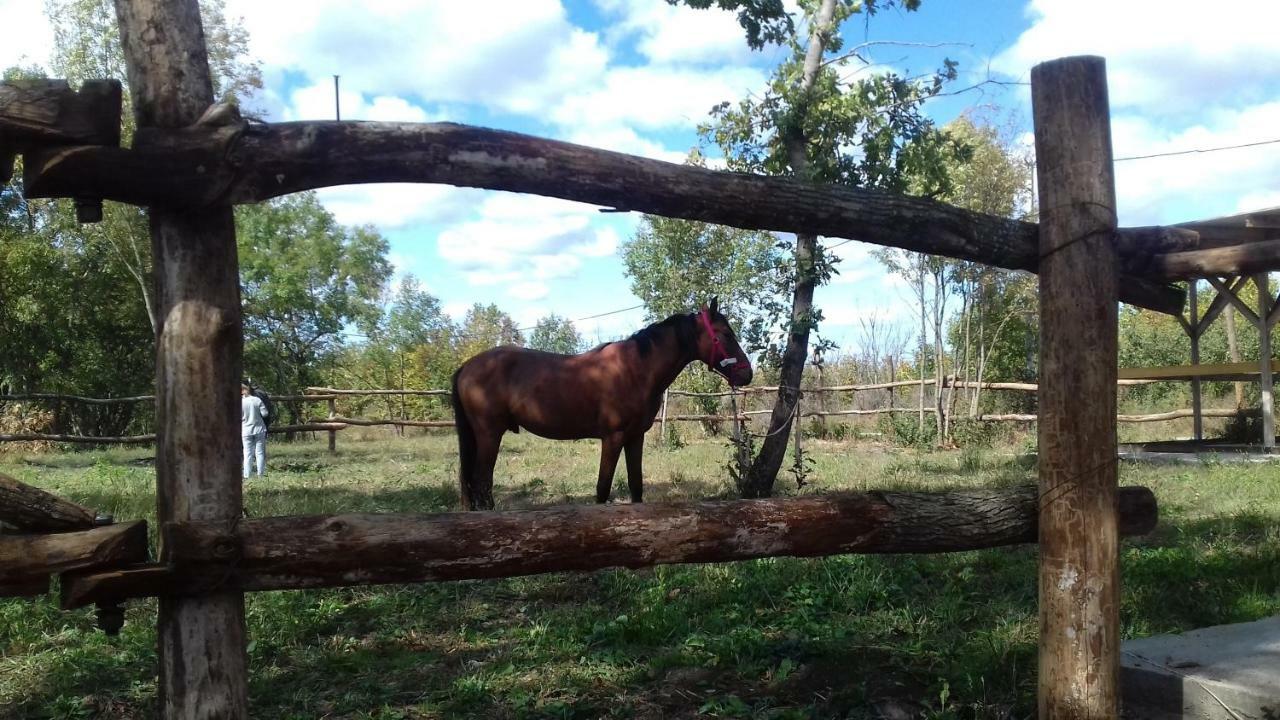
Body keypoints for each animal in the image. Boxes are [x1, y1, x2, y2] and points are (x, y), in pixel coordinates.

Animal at [450, 299, 747, 507]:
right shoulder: (612, 438)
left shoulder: (635, 437)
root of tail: (466, 366)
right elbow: (603, 489)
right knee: (482, 485)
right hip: (489, 435)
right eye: (725, 334)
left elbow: (636, 485)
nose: (747, 372)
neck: (635, 368)